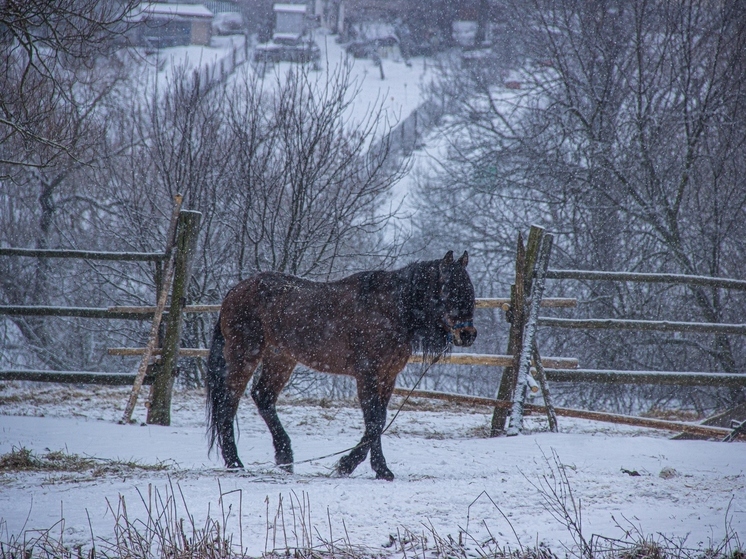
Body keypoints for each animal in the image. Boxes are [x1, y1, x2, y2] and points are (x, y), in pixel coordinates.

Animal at [203, 250, 476, 482]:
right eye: (450, 289)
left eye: (469, 289)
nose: (468, 334)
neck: (390, 308)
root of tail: (235, 290)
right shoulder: (367, 374)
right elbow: (373, 420)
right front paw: (368, 467)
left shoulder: (388, 376)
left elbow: (379, 420)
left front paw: (356, 465)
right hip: (245, 355)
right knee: (228, 402)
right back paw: (235, 462)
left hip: (281, 358)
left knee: (263, 397)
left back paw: (284, 456)